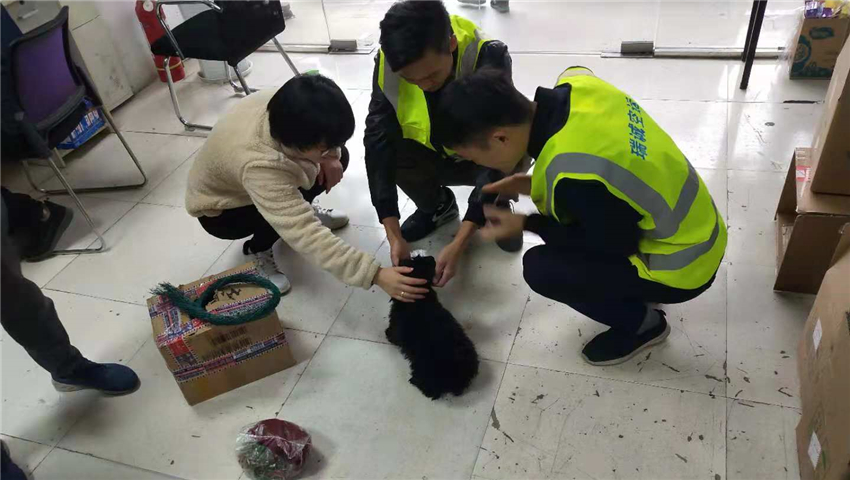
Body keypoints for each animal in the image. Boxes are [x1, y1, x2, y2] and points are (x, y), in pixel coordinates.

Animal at [385, 255, 479, 400]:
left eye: (413, 259)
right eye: (417, 258)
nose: (432, 257)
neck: (420, 299)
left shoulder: (395, 325)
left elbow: (392, 334)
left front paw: (387, 334)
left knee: (430, 391)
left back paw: (415, 382)